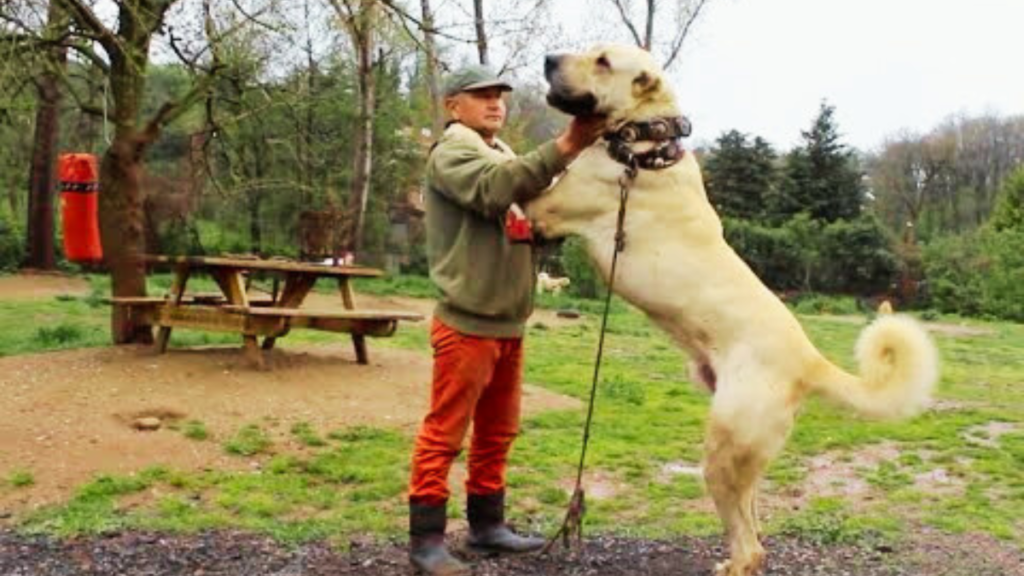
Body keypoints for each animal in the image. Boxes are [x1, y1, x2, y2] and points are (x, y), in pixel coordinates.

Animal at [528, 44, 937, 573]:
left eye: (601, 61)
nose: (548, 58)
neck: (645, 144)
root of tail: (811, 362)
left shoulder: (548, 207)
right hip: (747, 465)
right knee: (754, 532)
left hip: (722, 454)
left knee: (750, 547)